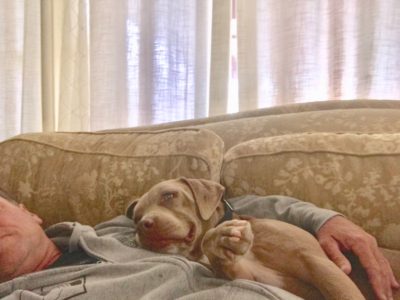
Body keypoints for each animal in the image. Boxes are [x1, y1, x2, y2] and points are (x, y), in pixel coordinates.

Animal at [126, 178, 400, 300]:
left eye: (169, 195)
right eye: (136, 216)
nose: (143, 225)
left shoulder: (319, 263)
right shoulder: (252, 276)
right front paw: (221, 239)